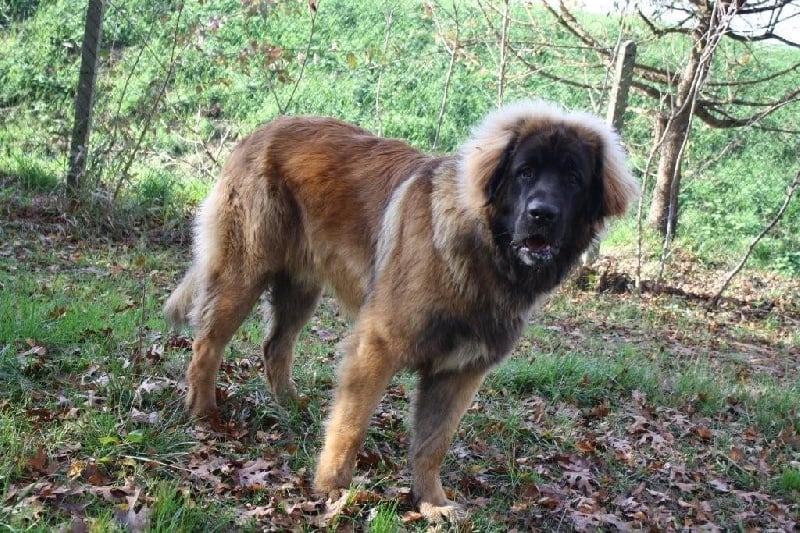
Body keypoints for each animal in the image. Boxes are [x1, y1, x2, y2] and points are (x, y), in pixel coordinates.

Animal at [164, 100, 638, 520]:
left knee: (275, 346)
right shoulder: (376, 348)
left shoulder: (459, 372)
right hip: (244, 272)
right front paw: (333, 490)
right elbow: (351, 426)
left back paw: (291, 407)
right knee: (207, 344)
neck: (482, 254)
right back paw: (204, 414)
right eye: (525, 172)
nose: (542, 214)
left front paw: (431, 503)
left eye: (573, 178)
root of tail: (261, 131)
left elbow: (432, 444)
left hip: (300, 288)